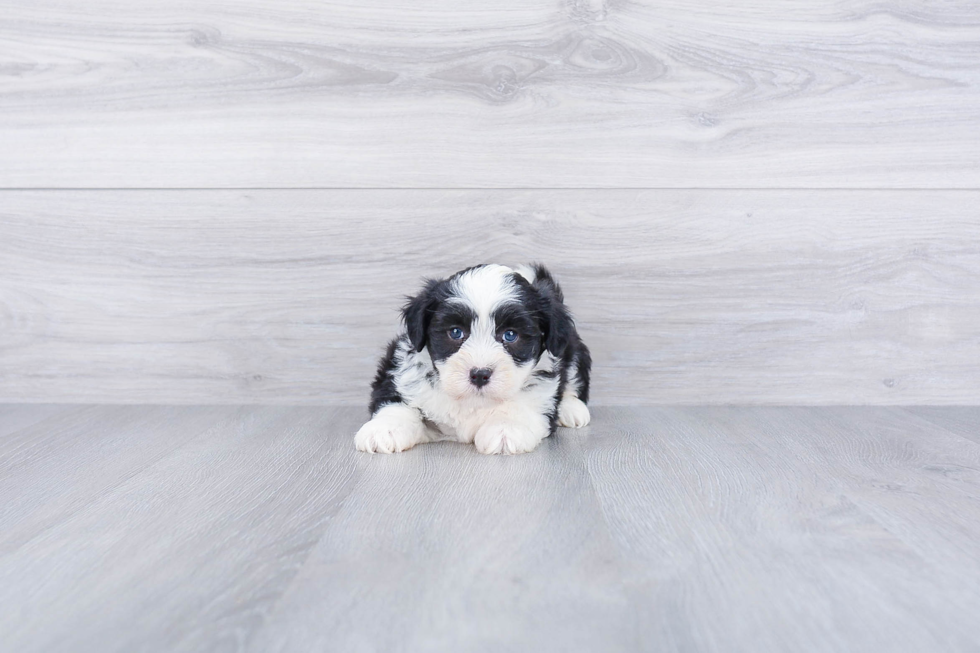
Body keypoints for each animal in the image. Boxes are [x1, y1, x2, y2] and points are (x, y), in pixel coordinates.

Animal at [358, 264, 592, 454]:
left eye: (510, 335)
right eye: (455, 332)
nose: (480, 374)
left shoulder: (543, 390)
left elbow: (523, 406)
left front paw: (506, 428)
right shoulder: (398, 369)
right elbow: (395, 402)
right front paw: (384, 430)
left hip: (573, 350)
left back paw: (572, 409)